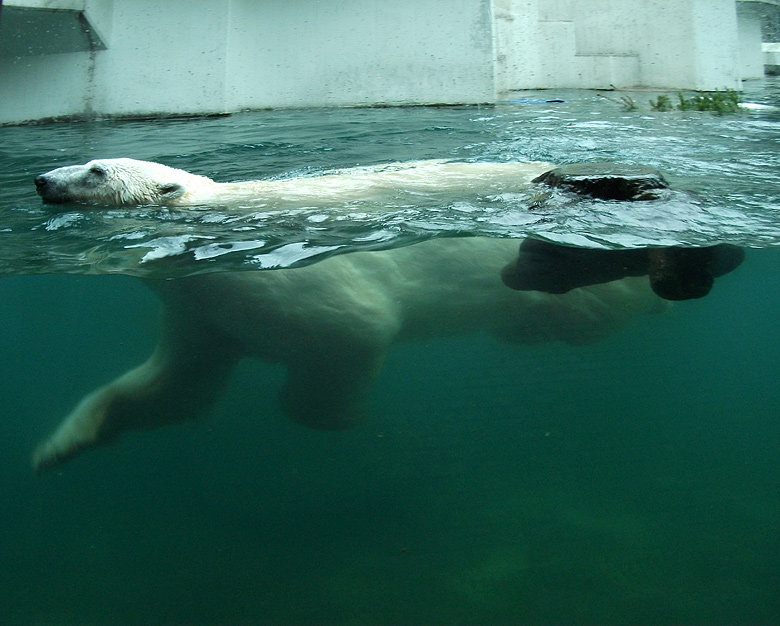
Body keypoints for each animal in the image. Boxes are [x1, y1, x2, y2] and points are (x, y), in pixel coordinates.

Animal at [27, 158, 668, 470]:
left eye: (96, 171)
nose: (41, 179)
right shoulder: (205, 315)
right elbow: (177, 389)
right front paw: (58, 447)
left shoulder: (276, 282)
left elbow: (352, 327)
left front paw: (333, 415)